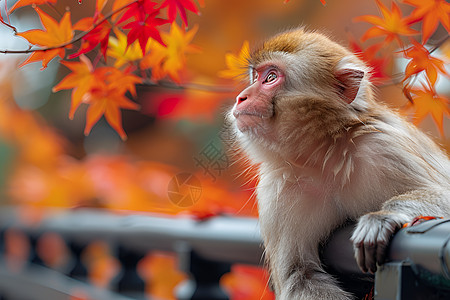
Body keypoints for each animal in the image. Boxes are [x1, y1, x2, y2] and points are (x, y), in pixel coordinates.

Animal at [229, 27, 450, 298]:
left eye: (270, 77)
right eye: (255, 76)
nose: (241, 97)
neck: (324, 155)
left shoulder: (384, 147)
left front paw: (382, 217)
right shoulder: (279, 189)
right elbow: (300, 275)